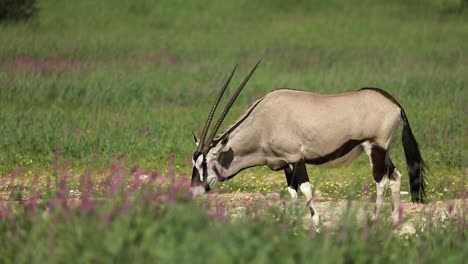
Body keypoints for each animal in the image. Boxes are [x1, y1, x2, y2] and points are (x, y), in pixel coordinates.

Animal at [191, 62, 428, 225]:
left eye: (205, 163)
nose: (193, 191)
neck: (264, 121)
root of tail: (394, 103)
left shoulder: (296, 158)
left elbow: (305, 190)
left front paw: (317, 224)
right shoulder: (285, 164)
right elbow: (293, 192)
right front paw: (290, 223)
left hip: (374, 147)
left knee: (382, 181)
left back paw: (375, 221)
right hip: (382, 150)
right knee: (395, 176)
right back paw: (393, 221)